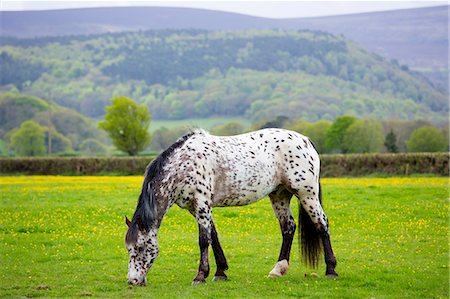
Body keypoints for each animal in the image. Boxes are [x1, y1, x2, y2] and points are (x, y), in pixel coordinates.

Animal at [125, 128, 336, 286]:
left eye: (141, 247)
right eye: (128, 249)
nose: (133, 281)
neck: (183, 164)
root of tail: (305, 140)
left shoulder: (202, 203)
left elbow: (204, 240)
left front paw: (200, 276)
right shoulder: (196, 208)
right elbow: (214, 237)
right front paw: (220, 272)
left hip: (307, 194)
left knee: (322, 225)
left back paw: (331, 270)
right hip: (280, 195)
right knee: (288, 228)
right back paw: (278, 270)